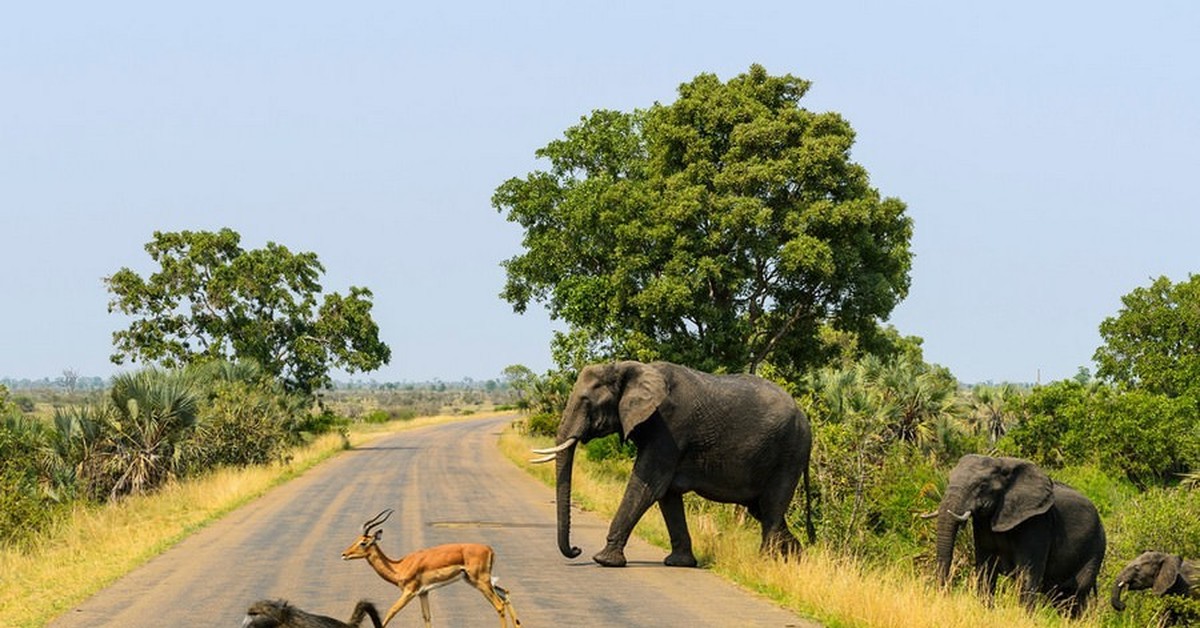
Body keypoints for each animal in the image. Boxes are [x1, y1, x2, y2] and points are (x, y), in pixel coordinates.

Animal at [530, 360, 811, 566]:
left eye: (587, 401)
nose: (576, 549)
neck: (626, 367)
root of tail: (805, 418)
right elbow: (667, 494)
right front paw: (679, 563)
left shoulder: (670, 427)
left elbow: (648, 486)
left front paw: (604, 560)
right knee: (763, 510)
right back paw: (797, 561)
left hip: (789, 455)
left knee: (771, 508)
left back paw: (764, 564)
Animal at [936, 453, 1104, 614]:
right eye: (948, 480)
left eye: (982, 486)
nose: (944, 594)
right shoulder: (983, 524)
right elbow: (985, 568)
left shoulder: (1037, 523)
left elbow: (1027, 575)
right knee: (1062, 598)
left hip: (1095, 550)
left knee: (1077, 595)